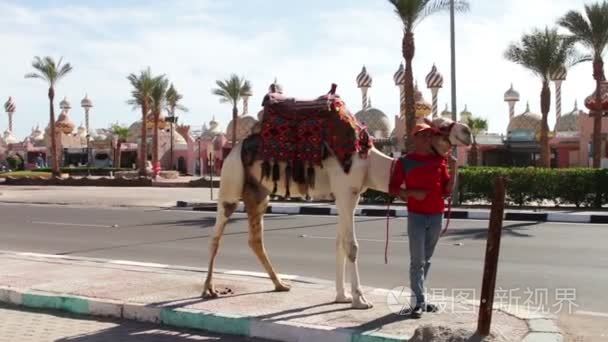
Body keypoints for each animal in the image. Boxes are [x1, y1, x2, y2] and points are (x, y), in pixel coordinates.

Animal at [202, 89, 472, 308]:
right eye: (440, 125)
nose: (467, 132)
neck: (369, 162)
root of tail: (236, 146)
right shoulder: (345, 189)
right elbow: (352, 246)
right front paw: (359, 299)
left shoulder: (349, 195)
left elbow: (340, 243)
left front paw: (342, 296)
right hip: (231, 180)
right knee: (216, 234)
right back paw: (209, 290)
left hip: (258, 192)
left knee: (255, 239)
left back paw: (280, 284)